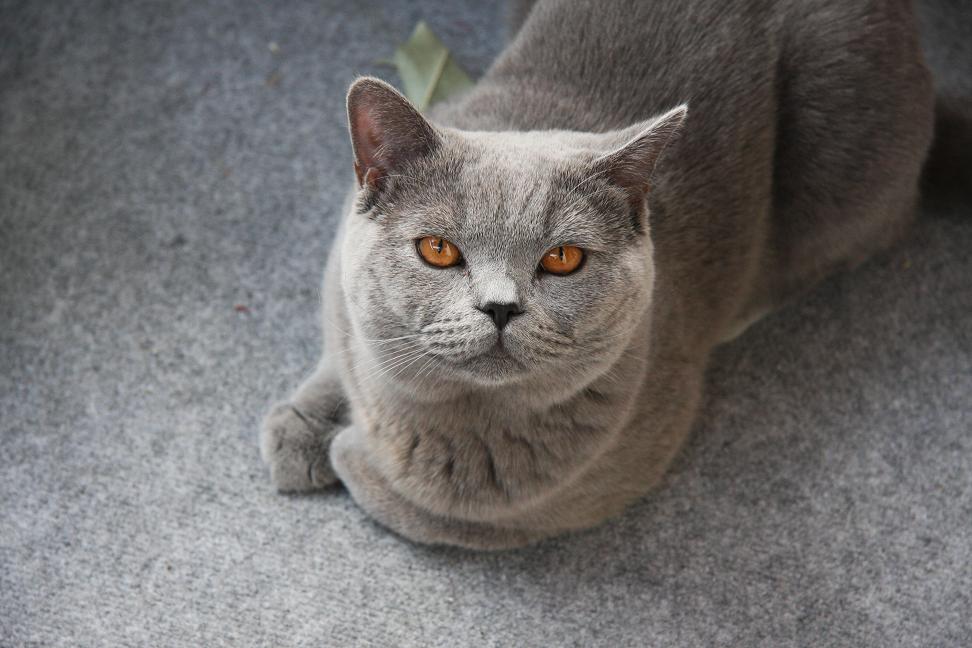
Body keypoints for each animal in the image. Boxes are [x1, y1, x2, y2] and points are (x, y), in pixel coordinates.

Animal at [258, 0, 936, 548]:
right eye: (438, 250)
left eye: (563, 259)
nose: (499, 307)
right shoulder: (339, 281)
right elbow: (340, 346)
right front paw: (300, 428)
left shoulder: (578, 490)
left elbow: (429, 513)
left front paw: (344, 451)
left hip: (843, 164)